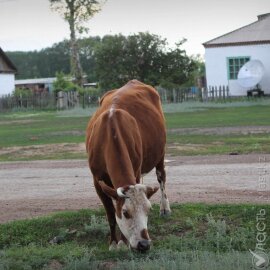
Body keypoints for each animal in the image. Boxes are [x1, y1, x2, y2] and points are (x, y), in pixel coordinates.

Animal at [86, 79, 171, 251]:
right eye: (125, 212)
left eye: (148, 210)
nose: (144, 244)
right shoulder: (97, 181)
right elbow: (111, 214)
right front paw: (113, 243)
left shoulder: (136, 171)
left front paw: (123, 242)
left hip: (160, 152)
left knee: (161, 177)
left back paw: (165, 207)